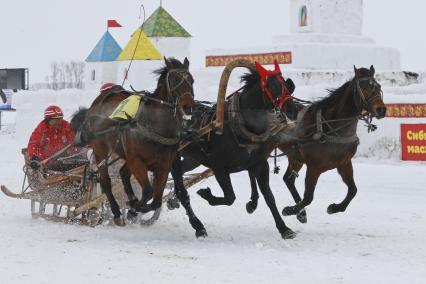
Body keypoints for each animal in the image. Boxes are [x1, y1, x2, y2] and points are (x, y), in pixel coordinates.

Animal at [71, 58, 206, 235]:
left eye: (191, 80)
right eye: (174, 80)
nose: (188, 107)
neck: (154, 125)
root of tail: (100, 99)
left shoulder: (164, 164)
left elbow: (157, 199)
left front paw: (135, 208)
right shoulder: (137, 160)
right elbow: (148, 192)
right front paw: (133, 209)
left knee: (123, 174)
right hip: (101, 149)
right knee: (106, 181)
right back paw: (117, 213)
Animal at [171, 60, 298, 240]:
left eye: (286, 87)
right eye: (271, 87)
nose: (292, 110)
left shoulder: (260, 164)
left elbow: (269, 197)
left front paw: (284, 228)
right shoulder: (219, 167)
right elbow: (230, 197)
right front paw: (206, 194)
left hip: (193, 158)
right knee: (179, 187)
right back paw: (197, 226)